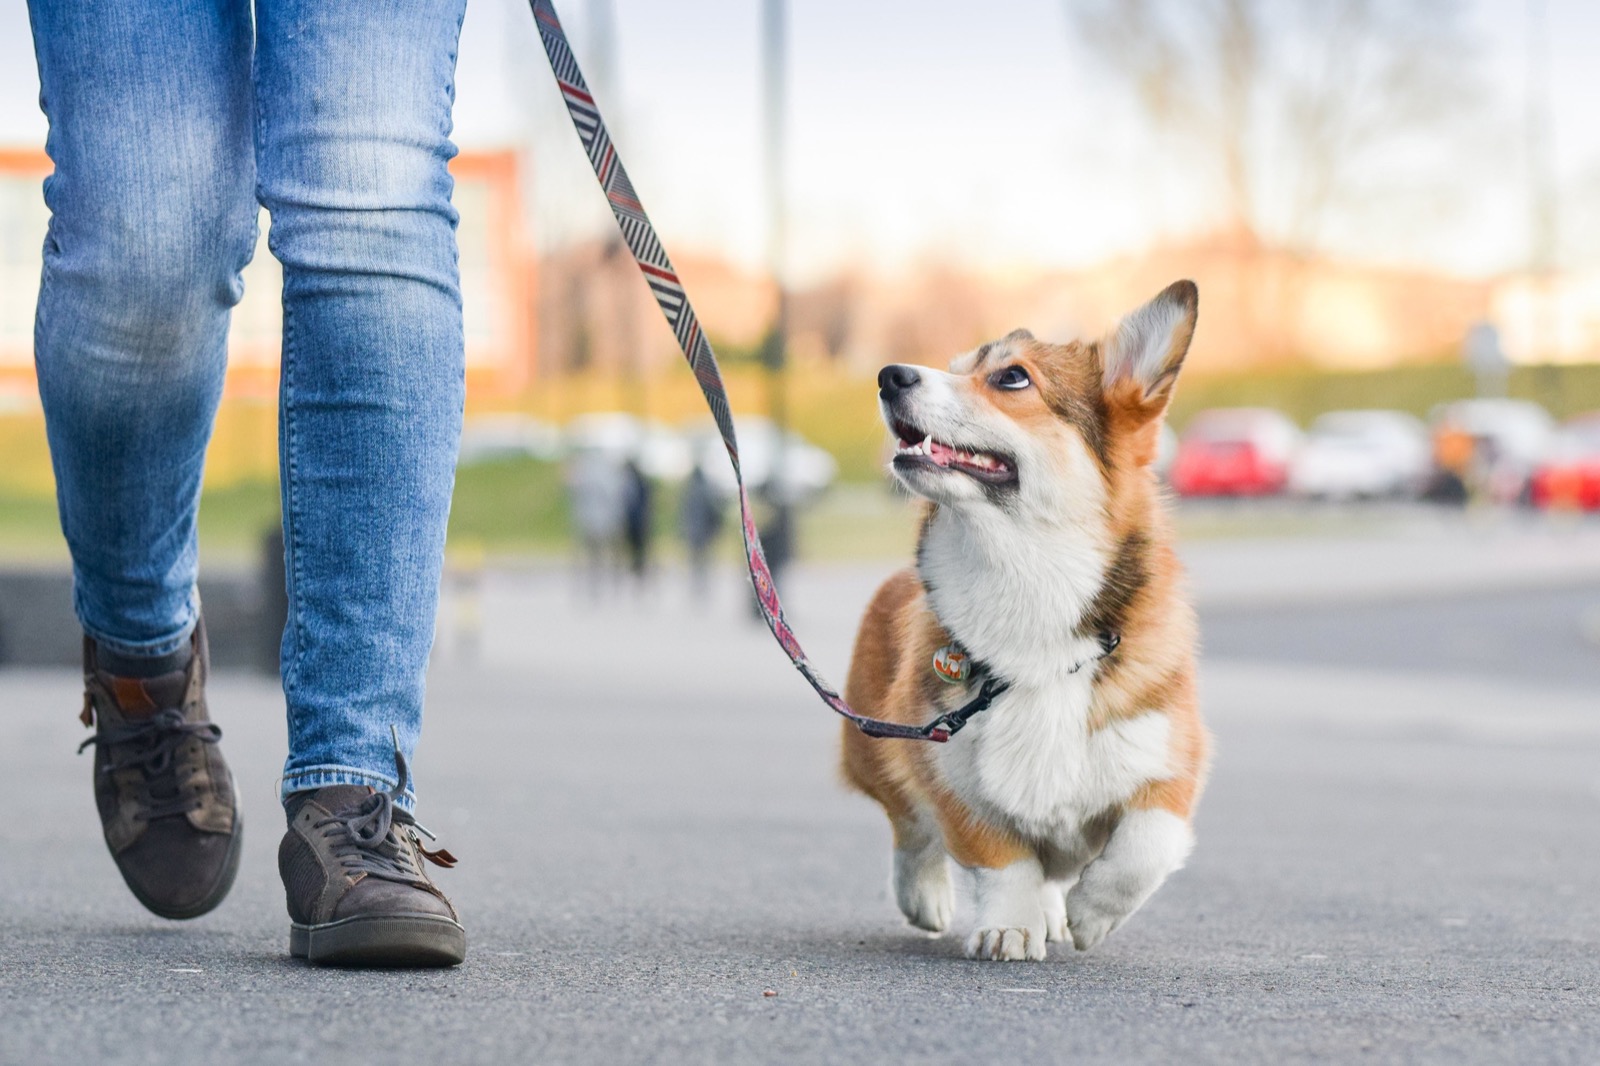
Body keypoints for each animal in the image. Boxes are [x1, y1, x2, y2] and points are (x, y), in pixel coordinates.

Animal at [844, 280, 1203, 953]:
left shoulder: (1170, 759)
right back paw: (926, 897)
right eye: (956, 367)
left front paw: (1091, 914)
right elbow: (1002, 858)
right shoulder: (946, 764)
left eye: (1012, 377)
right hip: (875, 742)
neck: (1027, 579)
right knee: (910, 826)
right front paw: (1009, 926)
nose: (889, 375)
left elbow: (1146, 845)